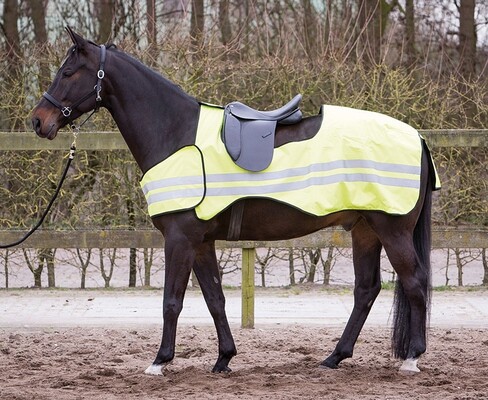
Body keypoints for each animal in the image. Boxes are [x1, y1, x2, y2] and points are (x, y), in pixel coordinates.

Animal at [30, 28, 436, 376]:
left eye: (68, 72)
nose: (38, 121)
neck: (174, 133)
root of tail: (416, 136)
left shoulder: (179, 239)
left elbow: (171, 301)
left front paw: (160, 361)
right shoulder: (201, 241)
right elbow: (214, 299)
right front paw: (224, 358)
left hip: (391, 229)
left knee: (414, 281)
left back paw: (412, 358)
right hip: (365, 229)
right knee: (366, 290)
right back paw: (335, 357)